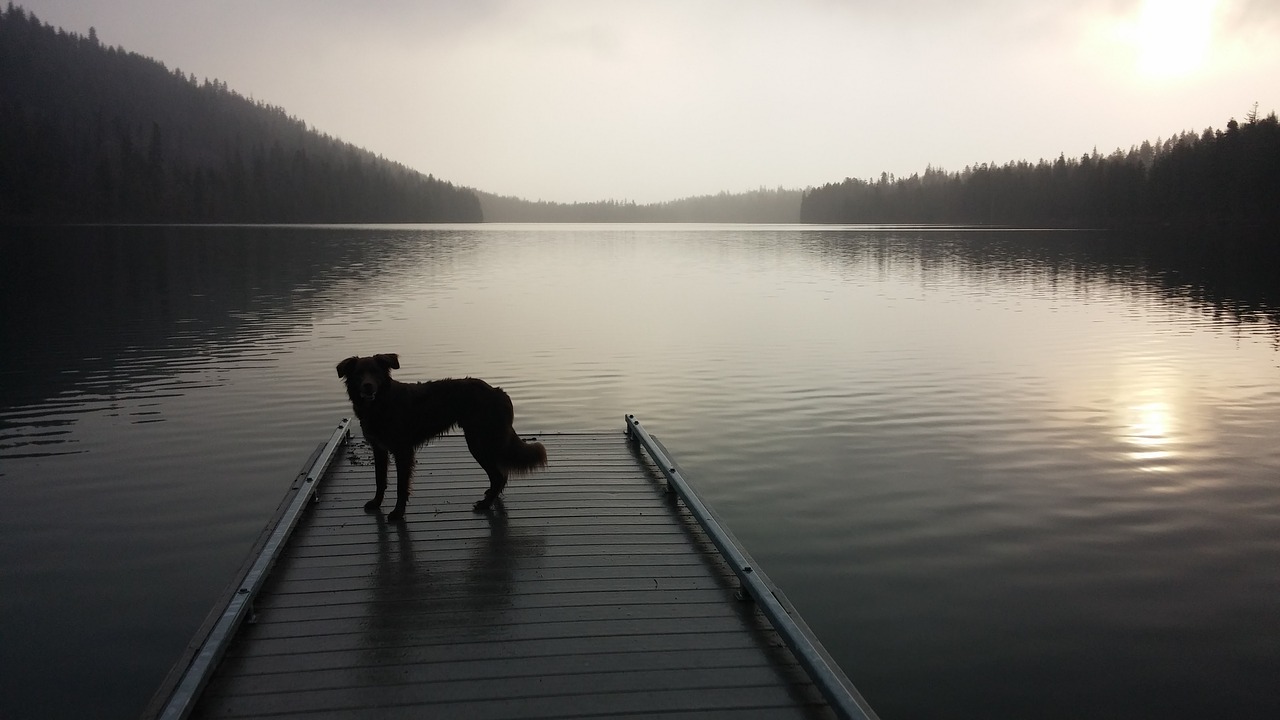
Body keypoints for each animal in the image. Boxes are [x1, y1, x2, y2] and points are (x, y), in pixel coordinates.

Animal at [335, 351, 545, 515]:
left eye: (375, 373)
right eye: (359, 374)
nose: (367, 386)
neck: (382, 403)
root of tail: (498, 391)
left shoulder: (403, 451)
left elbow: (401, 486)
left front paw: (397, 513)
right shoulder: (379, 448)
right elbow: (380, 479)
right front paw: (376, 503)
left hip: (480, 442)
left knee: (499, 475)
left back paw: (485, 504)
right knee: (500, 474)